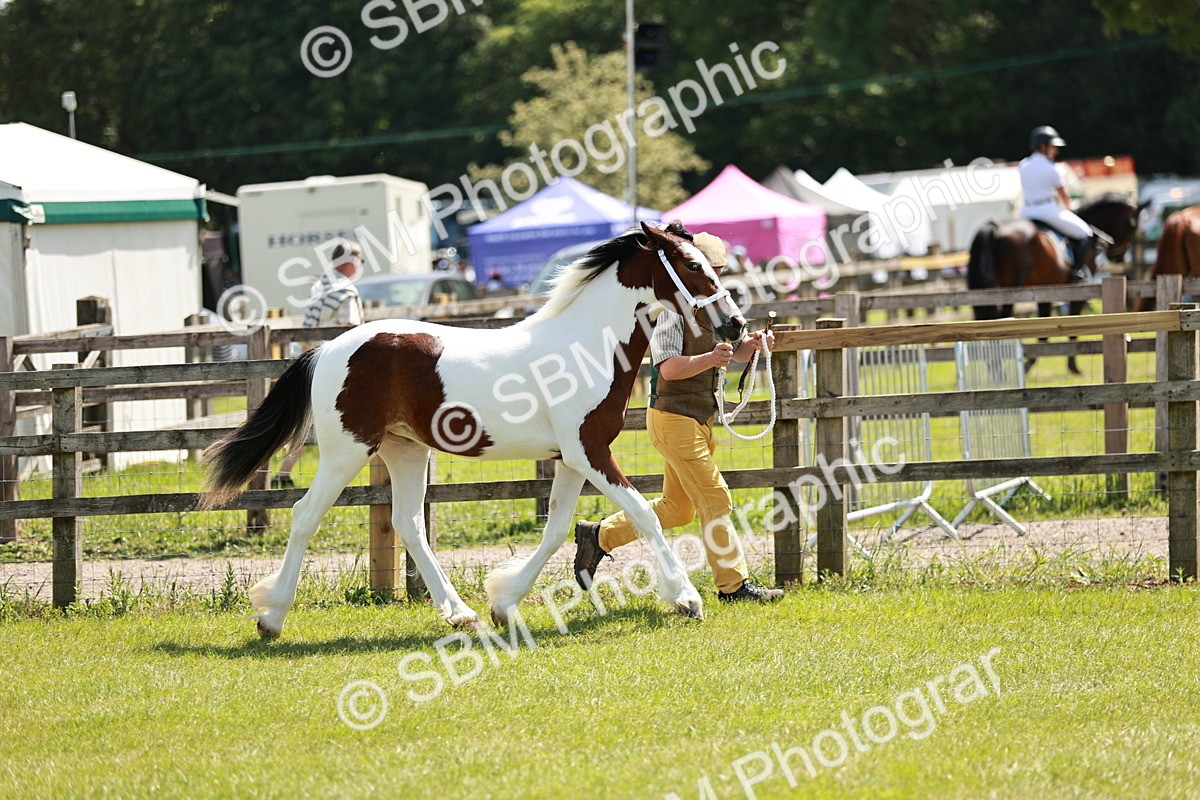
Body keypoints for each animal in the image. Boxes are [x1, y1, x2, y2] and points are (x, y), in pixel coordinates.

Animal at [199, 221, 746, 639]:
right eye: (692, 265)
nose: (736, 326)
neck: (585, 343)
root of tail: (328, 349)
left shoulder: (572, 459)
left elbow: (554, 530)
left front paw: (503, 603)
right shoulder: (589, 452)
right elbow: (644, 514)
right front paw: (687, 599)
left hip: (405, 451)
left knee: (409, 524)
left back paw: (459, 614)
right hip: (345, 452)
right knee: (305, 515)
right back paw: (271, 617)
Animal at [966, 193, 1148, 373]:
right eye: (1132, 224)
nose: (1118, 256)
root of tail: (994, 227)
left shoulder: (1043, 290)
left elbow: (1044, 326)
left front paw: (1031, 362)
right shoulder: (1079, 291)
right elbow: (1074, 323)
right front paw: (1072, 364)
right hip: (1008, 292)